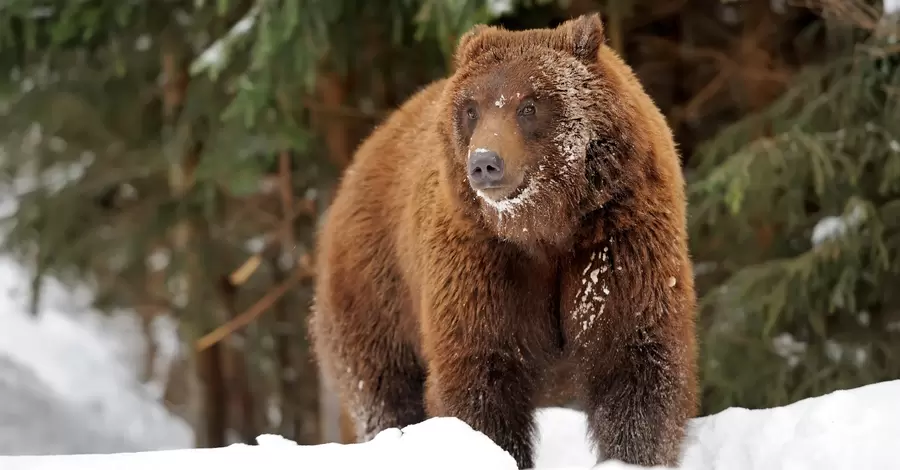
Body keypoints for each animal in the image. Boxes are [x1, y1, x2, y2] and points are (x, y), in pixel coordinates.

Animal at [308, 12, 696, 468]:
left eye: (529, 105)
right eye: (471, 109)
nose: (485, 163)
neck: (545, 228)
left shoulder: (615, 244)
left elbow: (634, 361)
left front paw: (631, 454)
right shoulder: (483, 262)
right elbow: (480, 375)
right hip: (376, 294)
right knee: (384, 390)